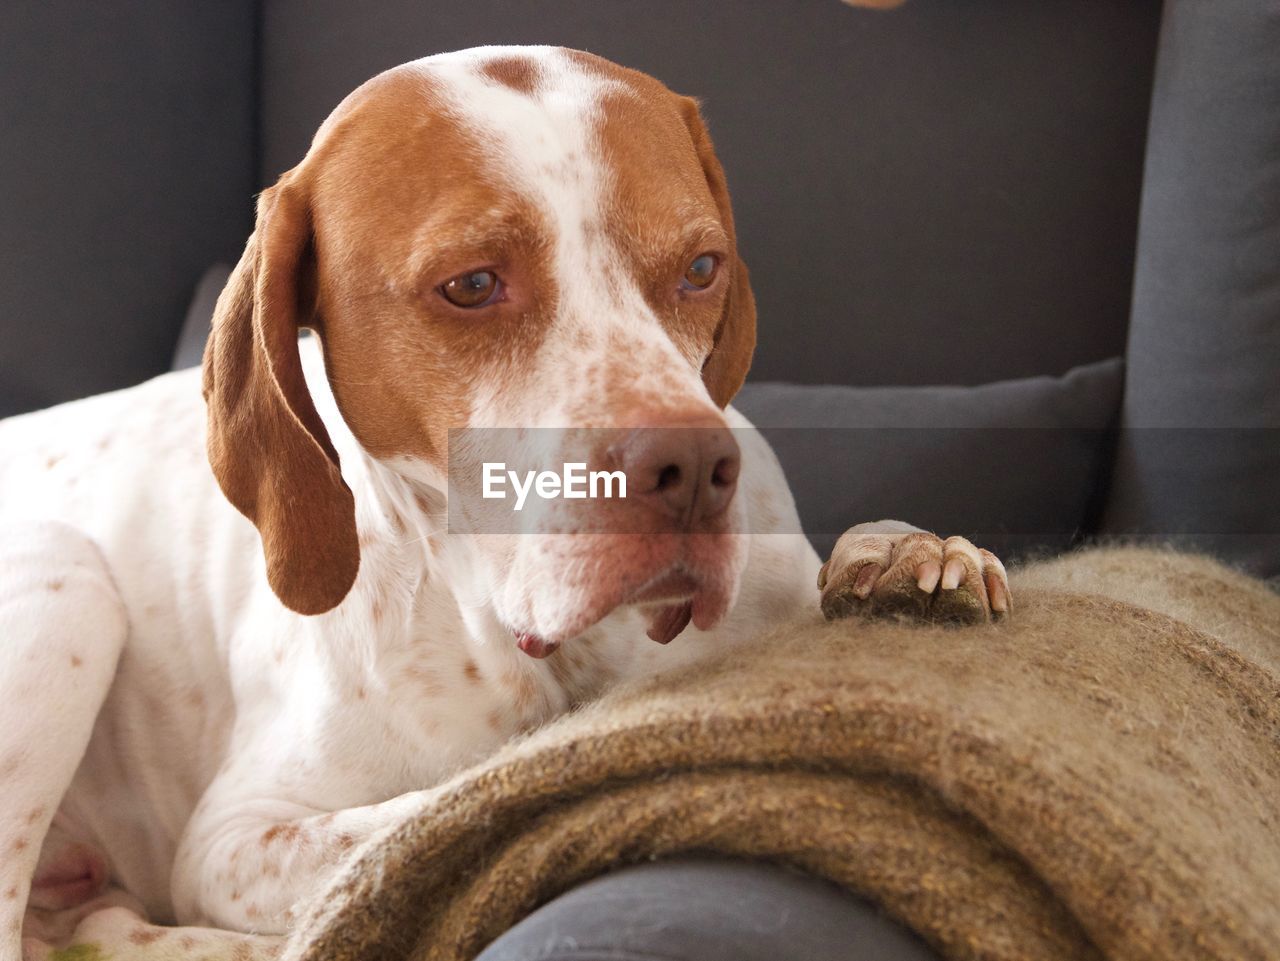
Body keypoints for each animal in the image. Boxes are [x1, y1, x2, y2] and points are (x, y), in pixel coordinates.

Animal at [0, 43, 1008, 957]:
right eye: (473, 285)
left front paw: (906, 556)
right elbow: (430, 810)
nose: (690, 469)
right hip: (67, 585)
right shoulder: (231, 837)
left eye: (701, 267)